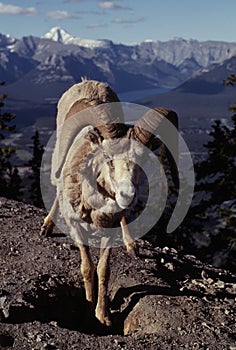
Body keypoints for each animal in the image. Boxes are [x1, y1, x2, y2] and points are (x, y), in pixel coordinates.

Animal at [40, 78, 178, 326]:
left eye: (143, 158)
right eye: (108, 158)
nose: (127, 194)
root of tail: (88, 81)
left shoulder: (110, 230)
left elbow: (103, 270)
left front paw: (102, 316)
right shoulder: (77, 227)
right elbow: (87, 267)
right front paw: (88, 308)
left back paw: (132, 245)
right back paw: (46, 226)